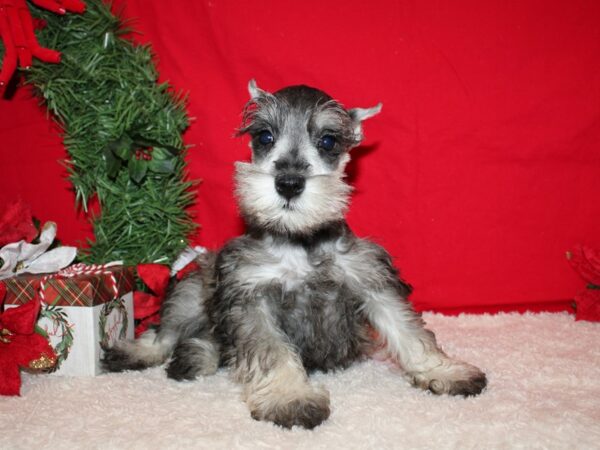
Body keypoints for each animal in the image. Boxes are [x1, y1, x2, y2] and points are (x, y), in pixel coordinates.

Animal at [104, 80, 488, 428]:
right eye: (264, 136)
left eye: (328, 141)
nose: (288, 183)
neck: (301, 240)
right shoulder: (250, 294)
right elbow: (272, 351)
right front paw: (289, 397)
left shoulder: (372, 279)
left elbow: (408, 330)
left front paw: (444, 370)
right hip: (193, 288)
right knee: (166, 332)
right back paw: (139, 352)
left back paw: (195, 356)